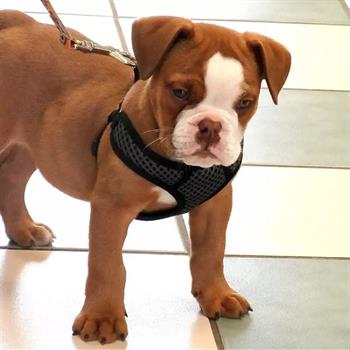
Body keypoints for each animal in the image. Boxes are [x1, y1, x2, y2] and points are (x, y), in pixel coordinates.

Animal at [0, 10, 290, 344]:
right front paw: (102, 317)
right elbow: (107, 265)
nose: (211, 127)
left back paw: (24, 230)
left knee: (12, 176)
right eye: (179, 92)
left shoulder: (215, 207)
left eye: (245, 103)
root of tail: (18, 22)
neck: (180, 164)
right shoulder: (112, 208)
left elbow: (211, 250)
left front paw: (216, 294)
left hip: (33, 145)